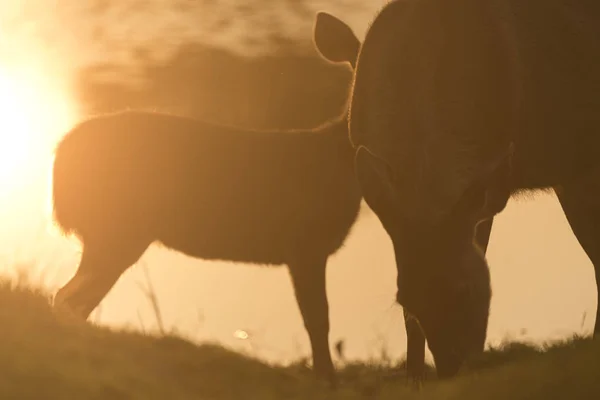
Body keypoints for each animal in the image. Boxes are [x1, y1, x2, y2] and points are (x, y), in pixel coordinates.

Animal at [52, 14, 360, 384]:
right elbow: (318, 317)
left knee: (74, 299)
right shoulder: (304, 243)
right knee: (68, 297)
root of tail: (61, 161)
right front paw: (327, 378)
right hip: (115, 228)